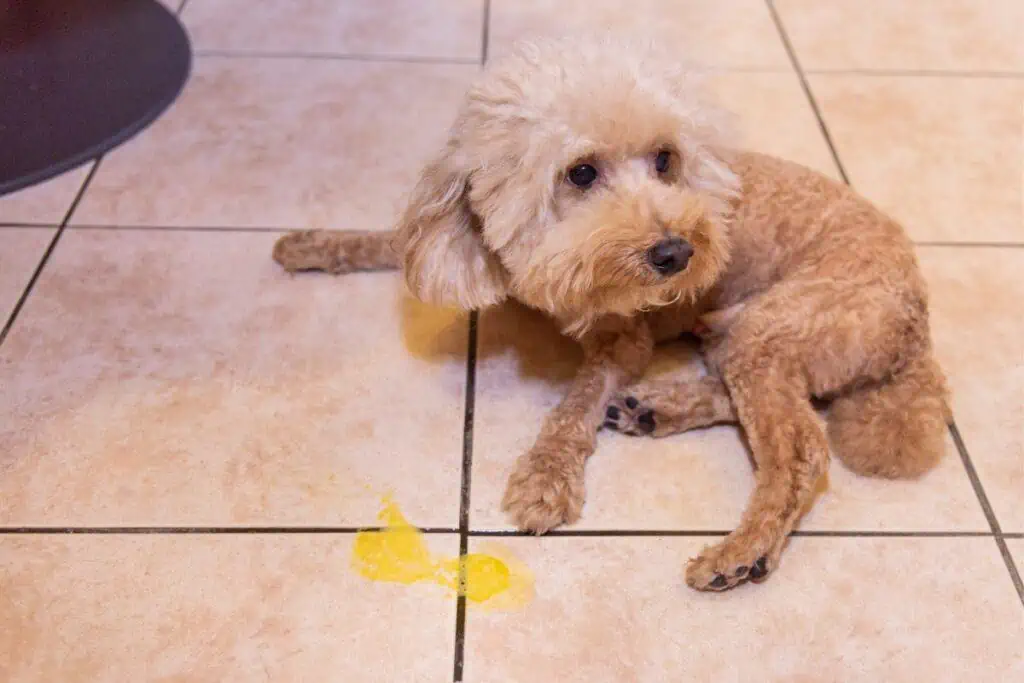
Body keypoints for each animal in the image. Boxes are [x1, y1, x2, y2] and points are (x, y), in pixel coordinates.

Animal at [272, 36, 950, 593]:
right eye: (581, 172)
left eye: (664, 159)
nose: (677, 253)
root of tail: (915, 321)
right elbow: (388, 241)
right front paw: (311, 245)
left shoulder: (623, 341)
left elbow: (574, 407)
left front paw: (545, 478)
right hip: (742, 336)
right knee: (757, 402)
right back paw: (655, 409)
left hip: (774, 329)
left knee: (802, 452)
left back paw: (740, 552)